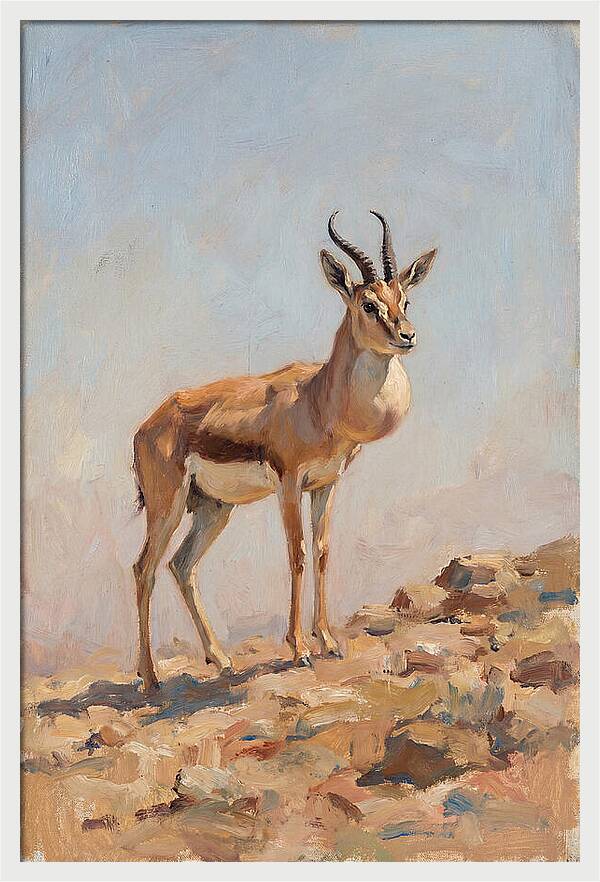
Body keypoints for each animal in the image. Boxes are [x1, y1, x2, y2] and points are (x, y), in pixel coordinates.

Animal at [132, 212, 437, 690]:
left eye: (404, 298)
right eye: (368, 304)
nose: (407, 336)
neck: (318, 400)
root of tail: (148, 425)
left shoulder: (326, 484)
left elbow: (324, 552)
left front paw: (328, 641)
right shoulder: (289, 484)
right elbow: (297, 554)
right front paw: (299, 649)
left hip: (213, 508)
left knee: (181, 566)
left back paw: (221, 660)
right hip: (168, 504)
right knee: (143, 569)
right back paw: (151, 678)